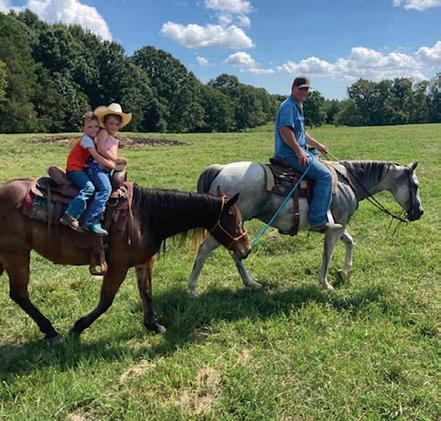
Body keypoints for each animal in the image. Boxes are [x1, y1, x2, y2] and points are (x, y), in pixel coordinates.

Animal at [0, 180, 250, 341]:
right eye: (235, 221)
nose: (246, 249)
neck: (144, 217)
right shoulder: (118, 267)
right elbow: (106, 301)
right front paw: (78, 327)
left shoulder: (144, 261)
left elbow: (147, 293)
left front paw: (153, 325)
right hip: (16, 255)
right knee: (20, 294)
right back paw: (51, 331)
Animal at [188, 160, 423, 294]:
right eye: (415, 185)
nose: (419, 212)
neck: (348, 182)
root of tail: (220, 170)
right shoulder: (335, 228)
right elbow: (328, 254)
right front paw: (325, 284)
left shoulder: (338, 225)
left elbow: (350, 242)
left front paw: (344, 272)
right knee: (204, 250)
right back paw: (192, 289)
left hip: (234, 228)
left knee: (235, 253)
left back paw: (251, 284)